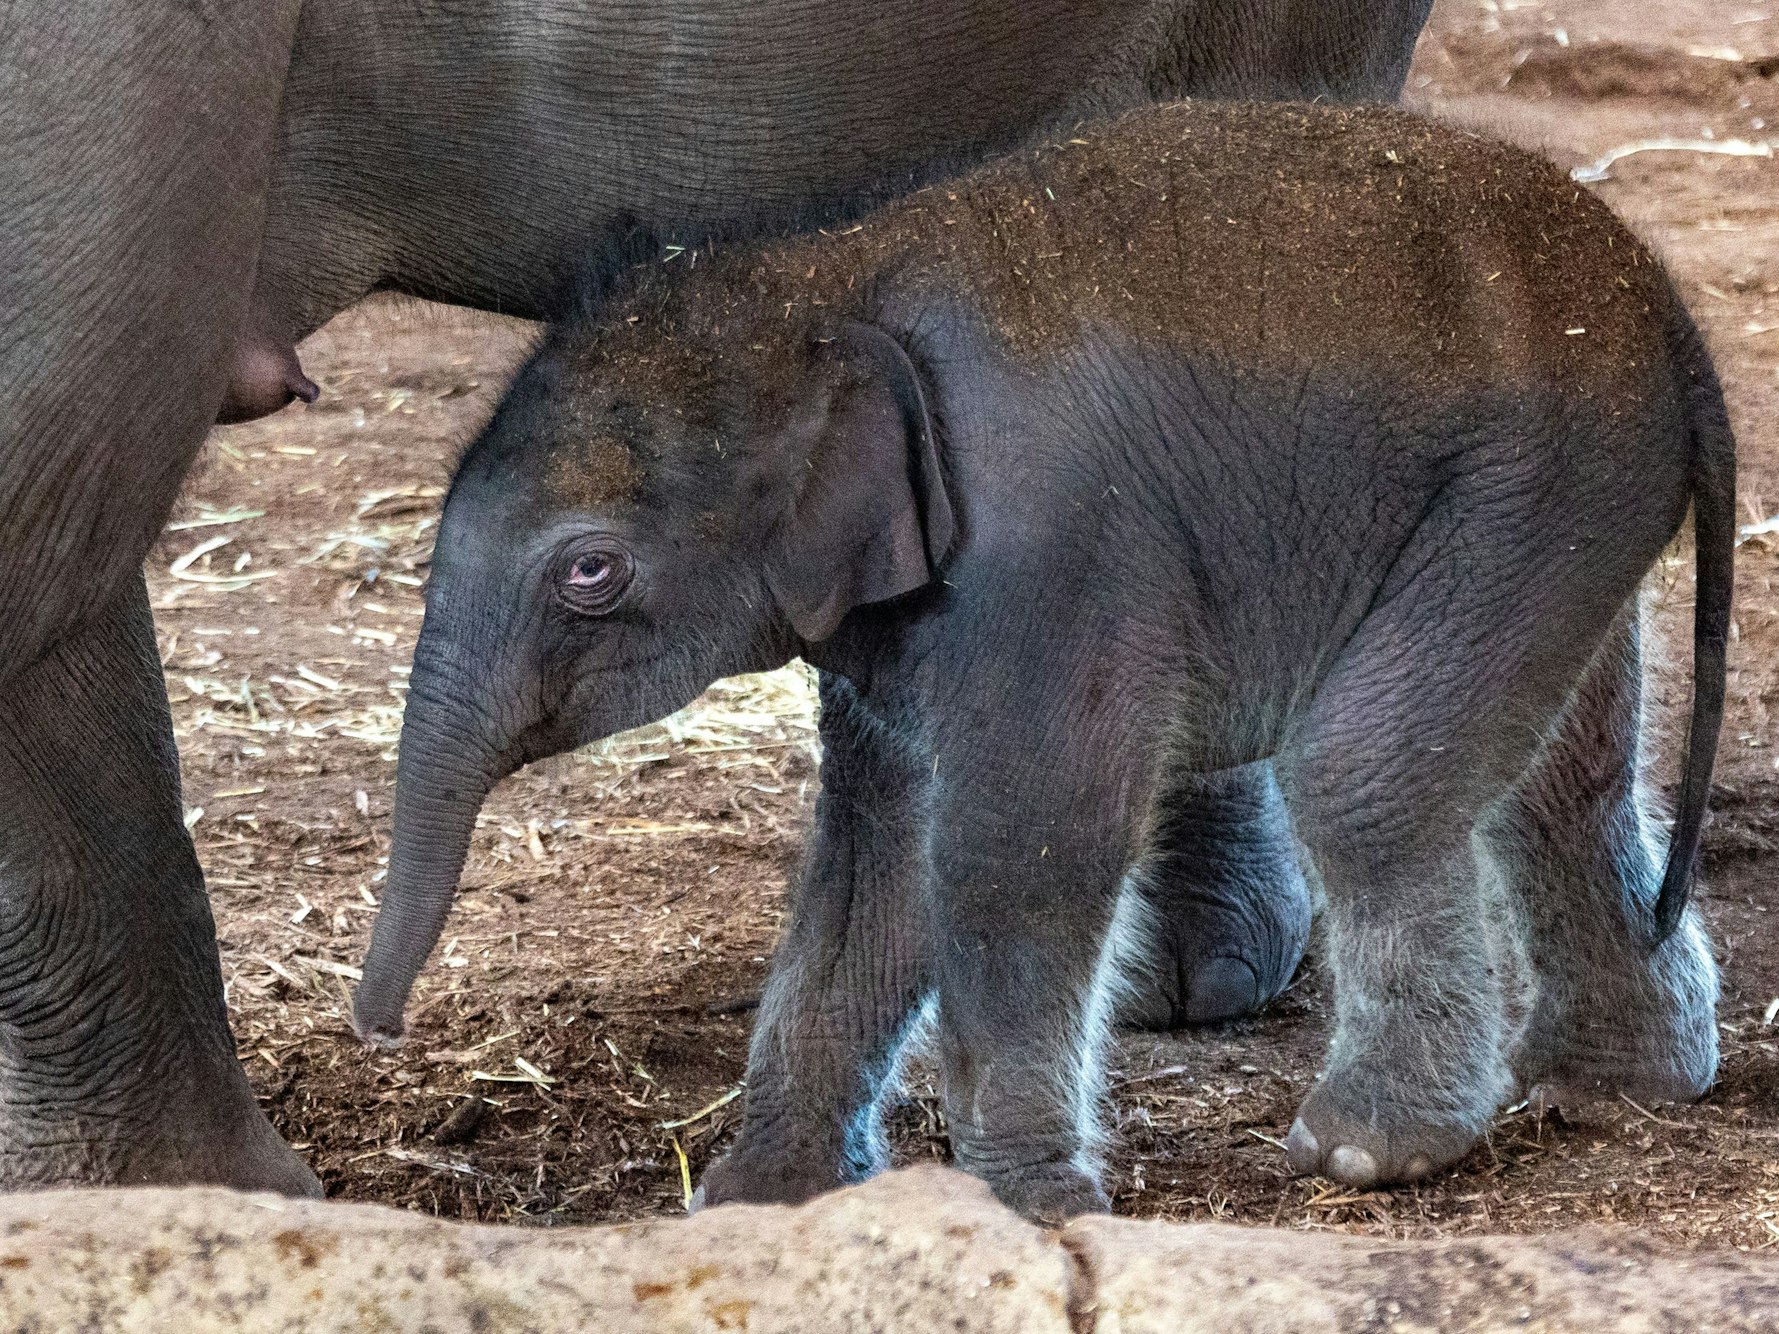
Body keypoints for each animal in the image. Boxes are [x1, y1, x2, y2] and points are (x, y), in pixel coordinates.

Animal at [353, 101, 1731, 1220]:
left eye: (589, 570)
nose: (378, 1031)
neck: (824, 276)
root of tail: (1667, 306)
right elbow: (877, 856)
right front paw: (760, 1203)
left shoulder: (1052, 554)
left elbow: (1023, 843)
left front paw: (1028, 1208)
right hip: (1556, 509)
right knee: (1557, 783)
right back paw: (1616, 1089)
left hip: (1533, 485)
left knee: (1366, 772)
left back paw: (1368, 1153)